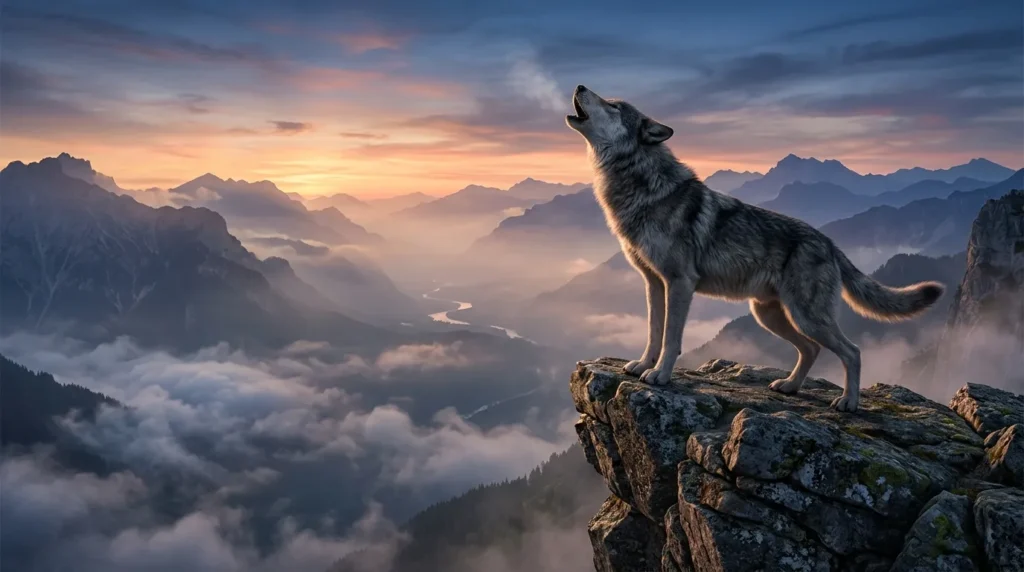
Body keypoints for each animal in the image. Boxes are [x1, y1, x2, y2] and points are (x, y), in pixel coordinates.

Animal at [565, 85, 944, 412]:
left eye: (614, 106)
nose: (580, 86)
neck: (640, 182)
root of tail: (831, 244)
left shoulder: (680, 283)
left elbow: (671, 337)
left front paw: (659, 375)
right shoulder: (654, 283)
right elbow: (653, 331)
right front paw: (643, 364)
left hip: (805, 316)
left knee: (852, 351)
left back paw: (848, 402)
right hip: (771, 315)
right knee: (811, 350)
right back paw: (790, 386)